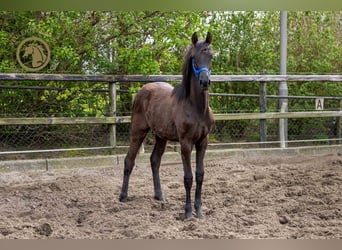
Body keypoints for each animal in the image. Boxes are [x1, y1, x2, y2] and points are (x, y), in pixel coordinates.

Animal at [117, 31, 214, 219]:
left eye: (211, 56)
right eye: (194, 58)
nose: (204, 81)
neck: (196, 107)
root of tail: (142, 91)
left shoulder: (202, 142)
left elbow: (200, 175)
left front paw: (199, 210)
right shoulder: (185, 143)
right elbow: (188, 177)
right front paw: (188, 212)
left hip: (161, 137)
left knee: (155, 160)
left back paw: (159, 196)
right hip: (138, 132)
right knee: (129, 160)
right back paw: (123, 196)